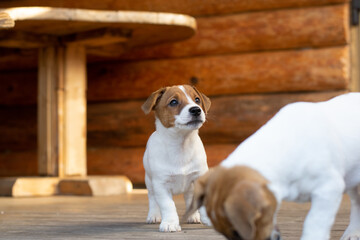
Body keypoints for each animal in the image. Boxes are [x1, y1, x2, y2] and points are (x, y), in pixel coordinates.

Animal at [142, 85, 212, 232]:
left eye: (197, 99)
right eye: (173, 102)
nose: (196, 110)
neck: (181, 145)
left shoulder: (199, 178)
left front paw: (207, 219)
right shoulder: (161, 185)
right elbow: (168, 205)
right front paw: (170, 223)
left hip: (190, 187)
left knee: (189, 198)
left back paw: (193, 216)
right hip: (149, 183)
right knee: (152, 199)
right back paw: (153, 216)